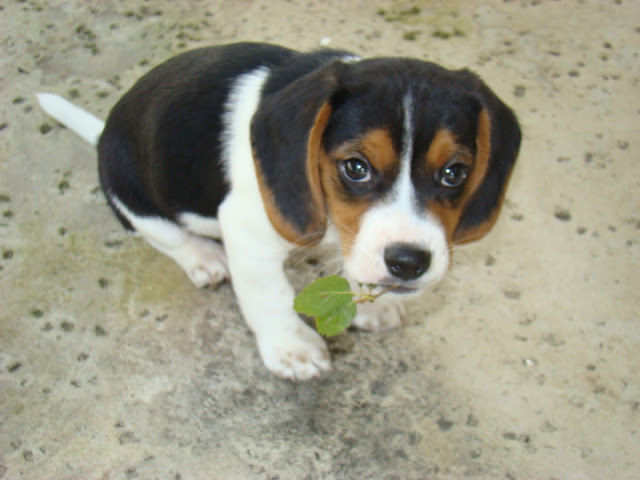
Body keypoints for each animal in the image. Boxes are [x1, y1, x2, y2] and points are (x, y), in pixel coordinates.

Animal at [37, 42, 521, 380]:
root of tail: (103, 133)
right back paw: (203, 258)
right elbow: (268, 296)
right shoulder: (247, 232)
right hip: (129, 189)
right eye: (356, 167)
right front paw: (293, 349)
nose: (408, 262)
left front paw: (369, 301)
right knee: (165, 235)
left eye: (455, 173)